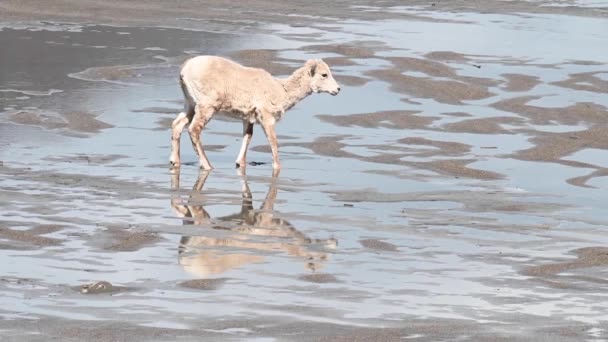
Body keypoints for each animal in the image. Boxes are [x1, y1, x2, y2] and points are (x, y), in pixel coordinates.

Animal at [170, 55, 342, 171]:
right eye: (324, 74)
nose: (338, 89)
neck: (281, 91)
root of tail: (184, 70)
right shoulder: (267, 117)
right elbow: (273, 141)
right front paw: (277, 166)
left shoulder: (248, 118)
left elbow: (248, 137)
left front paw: (240, 163)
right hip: (207, 105)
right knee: (194, 129)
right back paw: (207, 165)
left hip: (190, 103)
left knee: (177, 124)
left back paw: (175, 161)